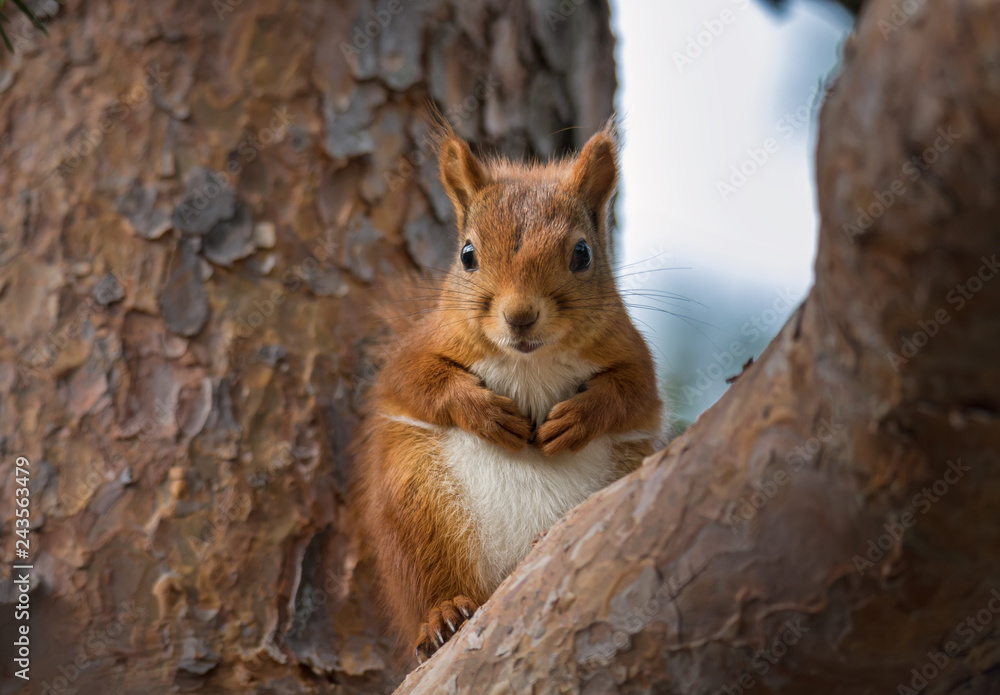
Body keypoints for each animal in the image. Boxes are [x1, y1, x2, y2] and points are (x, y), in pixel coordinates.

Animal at [354, 121, 665, 664]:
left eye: (582, 254)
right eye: (467, 255)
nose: (520, 315)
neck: (528, 359)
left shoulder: (633, 357)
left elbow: (631, 396)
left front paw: (578, 418)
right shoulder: (417, 350)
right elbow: (419, 382)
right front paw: (483, 412)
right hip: (415, 502)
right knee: (426, 579)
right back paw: (441, 615)